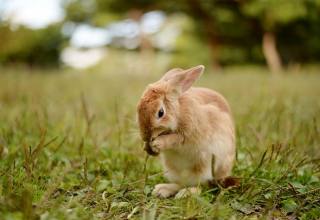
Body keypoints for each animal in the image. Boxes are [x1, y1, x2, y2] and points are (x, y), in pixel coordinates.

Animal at [136, 65, 236, 198]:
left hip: (207, 166)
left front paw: (158, 143)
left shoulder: (189, 134)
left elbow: (176, 139)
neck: (179, 111)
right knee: (182, 183)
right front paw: (146, 147)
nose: (145, 137)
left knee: (203, 185)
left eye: (161, 112)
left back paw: (186, 193)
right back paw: (162, 190)